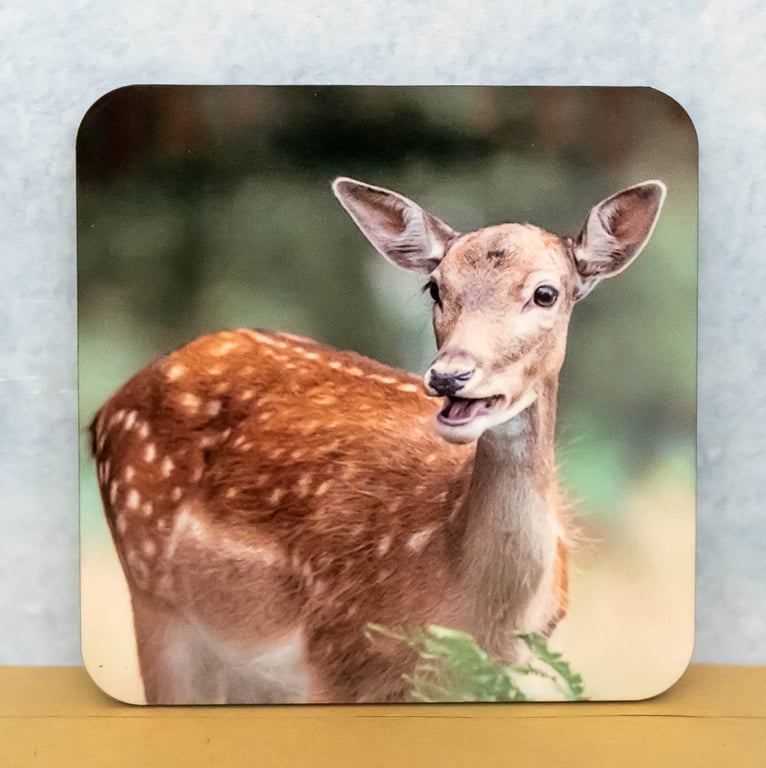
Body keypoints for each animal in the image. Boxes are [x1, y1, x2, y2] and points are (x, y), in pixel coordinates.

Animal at [89, 176, 665, 704]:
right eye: (435, 286)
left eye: (545, 293)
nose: (449, 375)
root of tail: (105, 411)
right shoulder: (337, 654)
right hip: (158, 606)